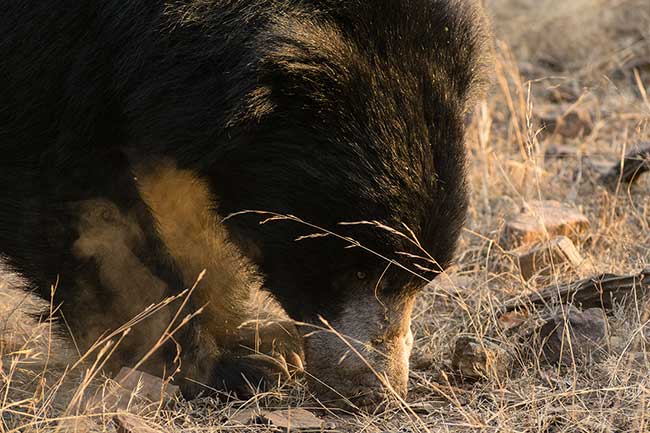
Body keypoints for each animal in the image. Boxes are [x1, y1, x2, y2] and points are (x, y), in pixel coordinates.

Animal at [0, 0, 488, 404]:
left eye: (424, 278)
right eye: (355, 269)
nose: (379, 390)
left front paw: (265, 343)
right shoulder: (50, 49)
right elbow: (74, 201)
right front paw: (231, 369)